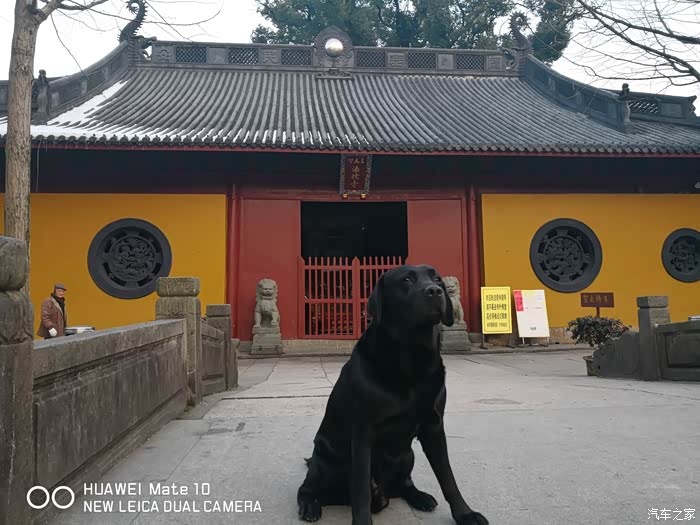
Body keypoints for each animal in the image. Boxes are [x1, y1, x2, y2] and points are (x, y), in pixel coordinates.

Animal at [297, 264, 488, 525]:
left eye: (437, 278)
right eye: (406, 279)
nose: (435, 291)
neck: (412, 360)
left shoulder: (434, 427)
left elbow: (448, 478)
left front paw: (465, 514)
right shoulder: (362, 433)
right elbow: (361, 489)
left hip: (407, 455)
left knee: (403, 484)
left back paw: (419, 497)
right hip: (324, 462)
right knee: (308, 489)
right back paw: (311, 506)